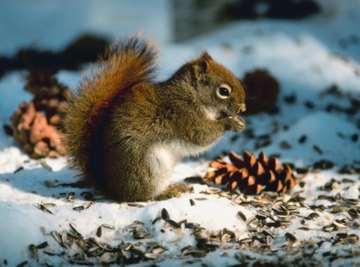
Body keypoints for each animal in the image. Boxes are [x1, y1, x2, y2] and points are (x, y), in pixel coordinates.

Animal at [63, 37, 246, 201]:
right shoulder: (184, 115)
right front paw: (231, 123)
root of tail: (112, 189)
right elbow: (202, 136)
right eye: (223, 91)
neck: (192, 95)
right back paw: (167, 192)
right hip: (147, 167)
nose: (243, 108)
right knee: (142, 196)